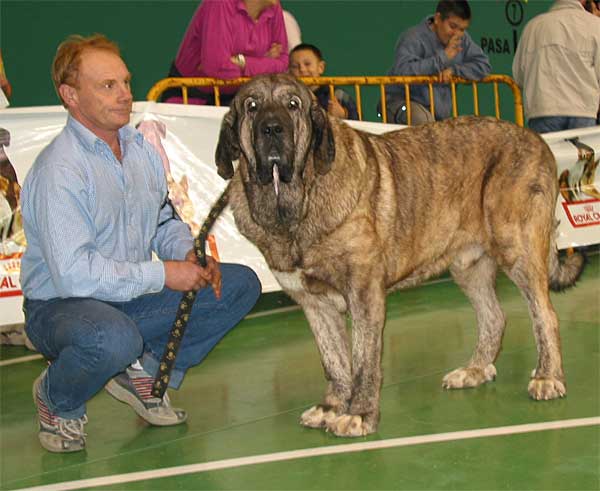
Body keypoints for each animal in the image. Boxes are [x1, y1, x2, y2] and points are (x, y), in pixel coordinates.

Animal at [214, 74, 584, 438]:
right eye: (251, 106)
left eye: (293, 104)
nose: (272, 129)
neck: (294, 204)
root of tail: (535, 138)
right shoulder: (314, 304)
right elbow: (334, 361)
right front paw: (331, 407)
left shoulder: (364, 294)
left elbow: (363, 360)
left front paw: (359, 415)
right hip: (468, 266)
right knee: (494, 317)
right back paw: (475, 370)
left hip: (516, 247)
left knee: (544, 314)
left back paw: (548, 376)